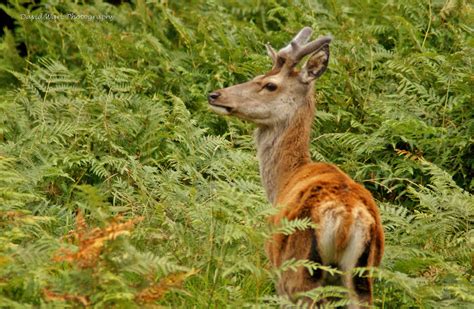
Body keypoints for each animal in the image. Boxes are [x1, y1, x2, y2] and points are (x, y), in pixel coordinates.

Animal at [207, 27, 386, 306]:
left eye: (270, 85)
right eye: (258, 76)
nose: (215, 94)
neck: (284, 180)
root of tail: (346, 218)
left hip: (297, 269)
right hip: (361, 276)